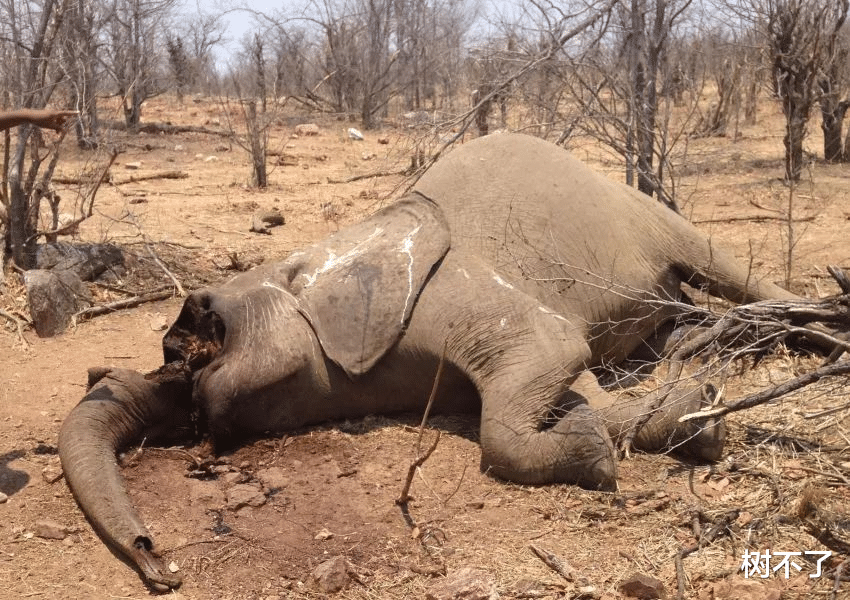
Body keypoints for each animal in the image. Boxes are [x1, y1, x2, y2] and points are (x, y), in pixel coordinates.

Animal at [59, 132, 796, 592]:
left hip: (651, 214)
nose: (158, 563)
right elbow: (580, 380)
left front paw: (600, 450)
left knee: (723, 268)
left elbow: (553, 352)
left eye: (202, 327)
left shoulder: (445, 289)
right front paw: (675, 421)